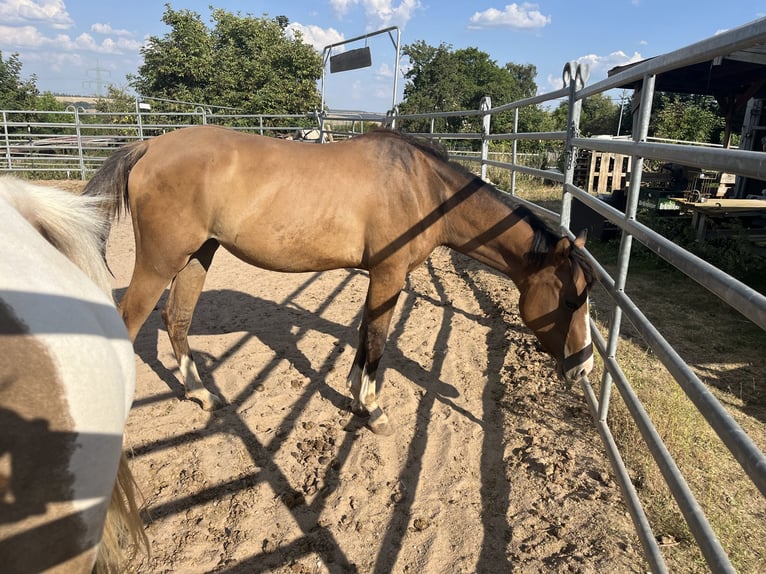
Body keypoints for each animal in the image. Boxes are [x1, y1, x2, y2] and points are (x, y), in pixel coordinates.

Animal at [87, 127, 596, 436]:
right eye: (573, 301)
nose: (585, 367)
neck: (424, 190)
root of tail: (151, 147)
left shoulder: (379, 278)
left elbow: (364, 335)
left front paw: (355, 395)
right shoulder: (389, 276)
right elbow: (376, 340)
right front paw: (373, 409)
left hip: (198, 255)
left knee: (177, 319)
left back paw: (200, 395)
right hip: (160, 261)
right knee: (130, 321)